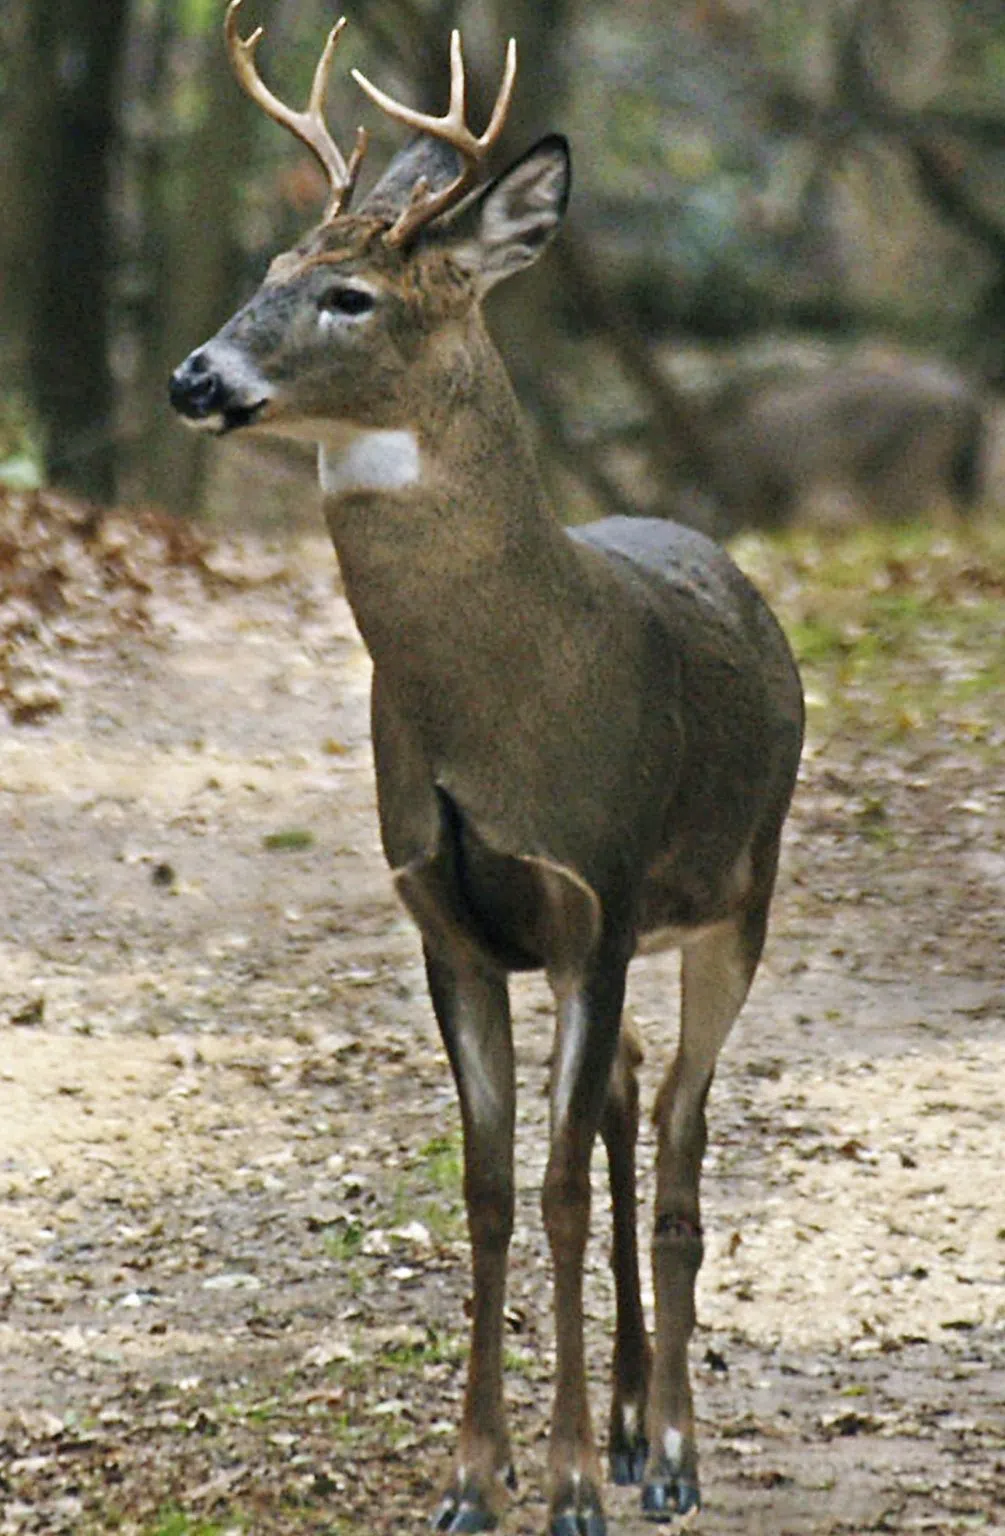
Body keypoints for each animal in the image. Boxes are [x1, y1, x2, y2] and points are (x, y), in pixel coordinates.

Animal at [169, 6, 805, 1529]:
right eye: (268, 272)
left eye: (351, 297)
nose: (193, 378)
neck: (504, 703)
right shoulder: (446, 919)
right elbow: (490, 1186)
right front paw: (478, 1471)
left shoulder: (599, 896)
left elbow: (565, 1188)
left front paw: (566, 1480)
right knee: (632, 1104)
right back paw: (632, 1422)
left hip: (738, 896)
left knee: (679, 1142)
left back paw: (668, 1451)